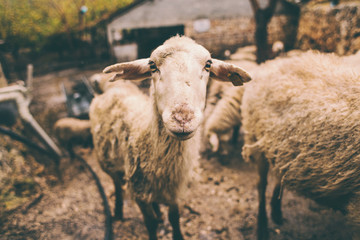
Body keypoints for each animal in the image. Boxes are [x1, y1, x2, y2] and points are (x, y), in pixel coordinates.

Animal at [89, 34, 252, 240]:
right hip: (108, 163)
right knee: (117, 184)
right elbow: (150, 223)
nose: (182, 118)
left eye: (208, 65)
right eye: (152, 65)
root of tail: (111, 90)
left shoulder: (173, 188)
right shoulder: (138, 190)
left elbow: (174, 217)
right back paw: (118, 211)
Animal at [239, 50, 360, 238]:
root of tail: (270, 63)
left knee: (279, 174)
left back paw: (276, 212)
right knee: (261, 185)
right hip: (256, 140)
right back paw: (262, 228)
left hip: (281, 147)